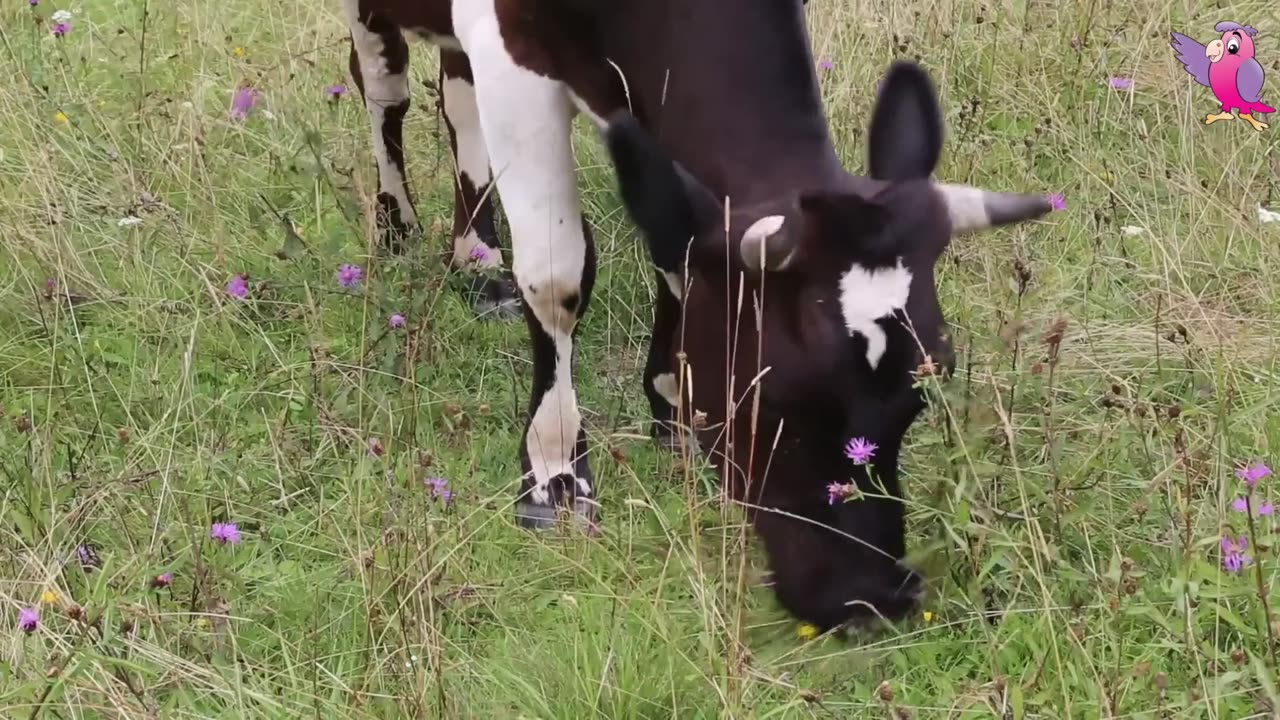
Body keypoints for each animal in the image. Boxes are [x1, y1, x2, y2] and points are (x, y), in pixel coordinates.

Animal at [343, 0, 1049, 627]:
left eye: (926, 386)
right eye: (777, 400)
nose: (870, 597)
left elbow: (673, 242)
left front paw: (671, 407)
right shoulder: (510, 48)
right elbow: (555, 275)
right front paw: (554, 472)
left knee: (455, 97)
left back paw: (478, 258)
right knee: (383, 84)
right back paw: (398, 222)